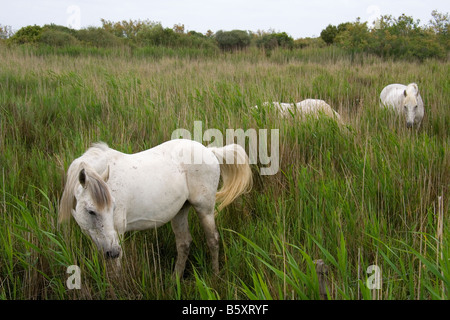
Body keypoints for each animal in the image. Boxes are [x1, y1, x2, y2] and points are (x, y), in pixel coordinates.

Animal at [59, 139, 253, 276]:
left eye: (113, 208)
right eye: (91, 211)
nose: (113, 252)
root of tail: (209, 151)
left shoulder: (117, 234)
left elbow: (116, 268)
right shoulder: (100, 239)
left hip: (204, 209)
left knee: (213, 240)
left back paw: (215, 276)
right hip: (180, 211)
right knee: (184, 243)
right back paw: (174, 281)